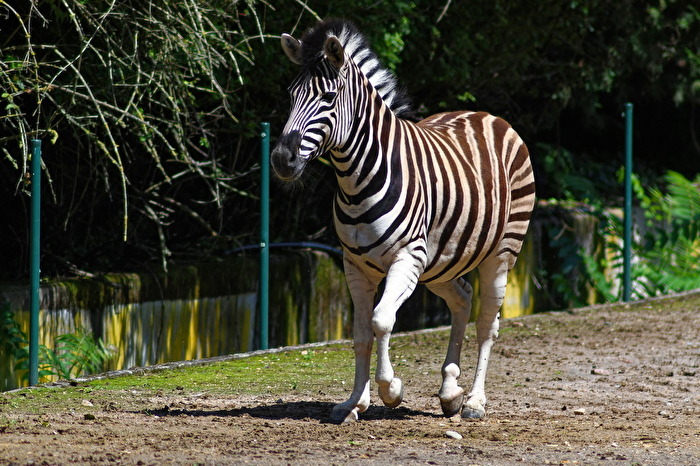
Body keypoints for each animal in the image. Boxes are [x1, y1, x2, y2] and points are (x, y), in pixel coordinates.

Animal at [271, 19, 536, 423]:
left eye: (329, 98)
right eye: (291, 95)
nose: (281, 159)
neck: (356, 179)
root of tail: (487, 115)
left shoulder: (407, 258)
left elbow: (381, 321)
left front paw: (390, 390)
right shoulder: (355, 266)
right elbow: (361, 334)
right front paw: (354, 402)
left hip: (500, 253)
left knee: (487, 322)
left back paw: (474, 402)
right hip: (441, 262)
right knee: (463, 299)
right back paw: (450, 391)